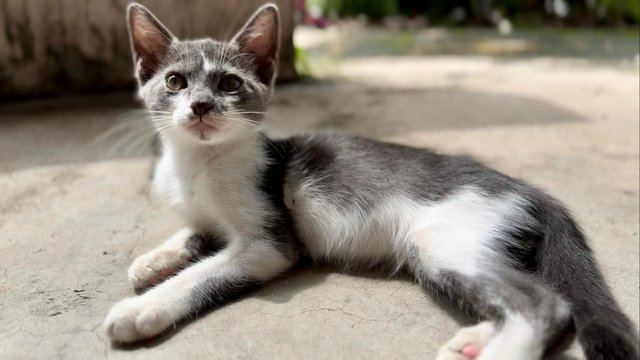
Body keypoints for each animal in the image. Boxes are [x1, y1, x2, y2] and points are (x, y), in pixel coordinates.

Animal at [102, 3, 636, 360]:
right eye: (174, 82)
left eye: (230, 84)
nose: (200, 107)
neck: (200, 163)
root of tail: (531, 190)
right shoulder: (206, 214)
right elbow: (194, 231)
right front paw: (153, 259)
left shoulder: (271, 243)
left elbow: (205, 273)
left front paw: (141, 308)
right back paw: (472, 344)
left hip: (445, 238)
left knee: (546, 303)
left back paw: (500, 351)